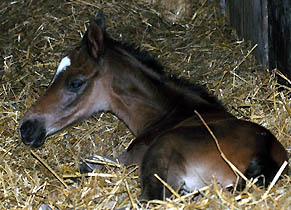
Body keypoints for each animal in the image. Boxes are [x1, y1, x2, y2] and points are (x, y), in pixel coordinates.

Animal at [19, 11, 288, 200]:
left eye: (75, 83)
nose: (26, 127)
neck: (170, 114)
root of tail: (263, 152)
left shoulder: (130, 157)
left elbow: (89, 164)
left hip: (161, 154)